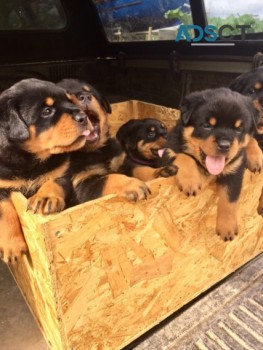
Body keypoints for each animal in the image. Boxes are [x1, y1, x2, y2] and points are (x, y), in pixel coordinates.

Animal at [0, 77, 94, 262]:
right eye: (47, 111)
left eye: (70, 100)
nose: (83, 116)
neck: (32, 161)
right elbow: (5, 210)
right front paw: (12, 246)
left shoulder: (62, 172)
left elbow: (53, 182)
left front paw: (44, 198)